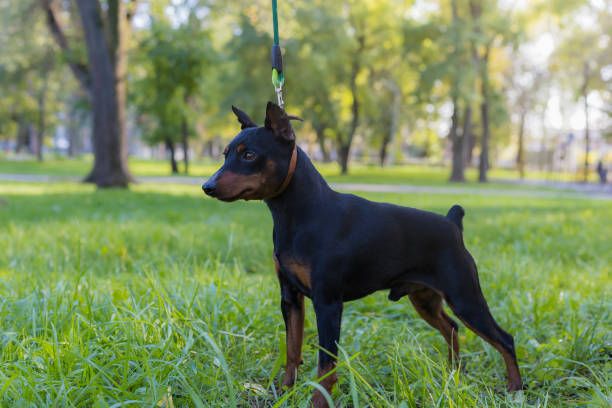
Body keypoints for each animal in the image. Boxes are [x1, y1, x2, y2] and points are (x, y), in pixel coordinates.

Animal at [203, 103, 524, 408]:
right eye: (225, 154)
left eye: (249, 155)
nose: (207, 186)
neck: (300, 214)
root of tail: (452, 223)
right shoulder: (290, 298)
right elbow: (292, 350)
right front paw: (284, 393)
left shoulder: (328, 303)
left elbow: (326, 365)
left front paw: (318, 403)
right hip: (425, 300)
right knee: (453, 329)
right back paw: (452, 374)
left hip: (464, 298)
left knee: (504, 339)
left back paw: (515, 390)